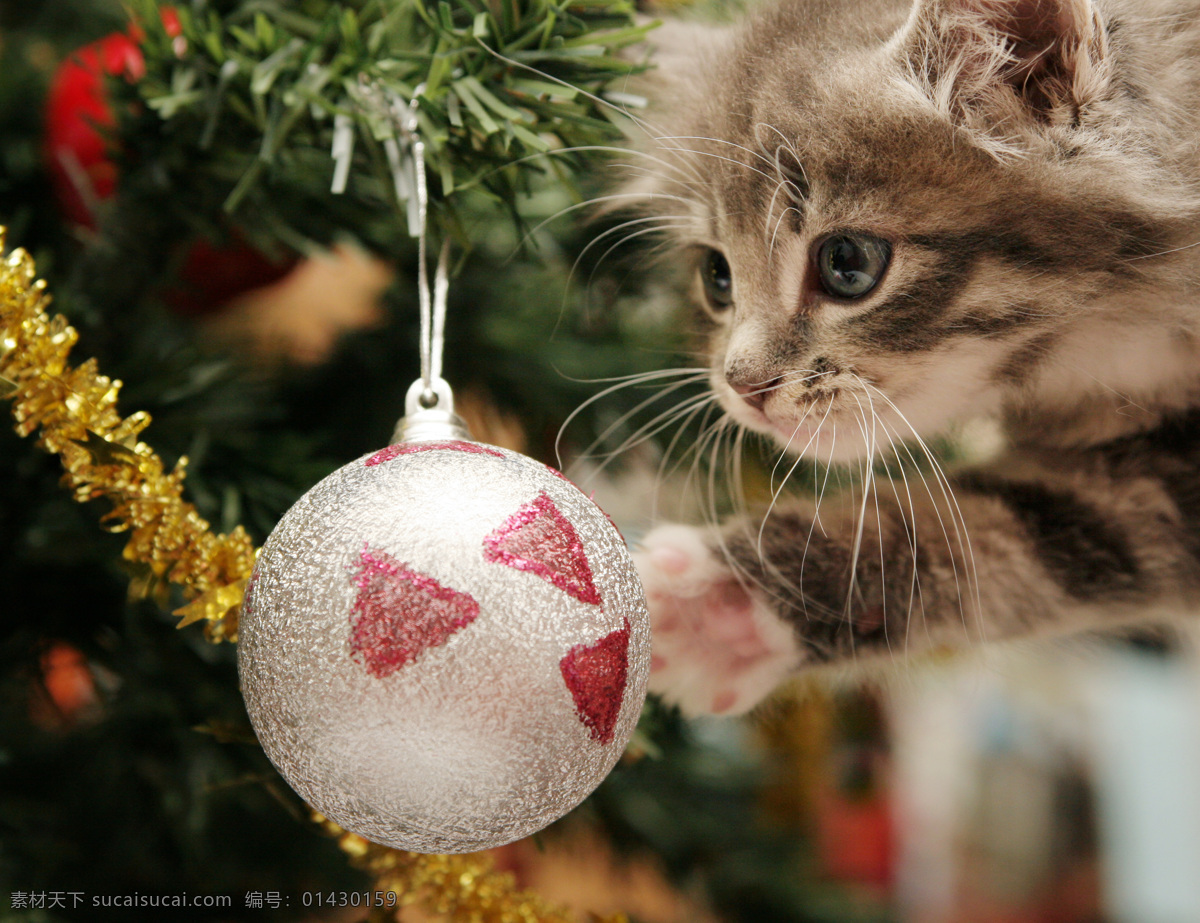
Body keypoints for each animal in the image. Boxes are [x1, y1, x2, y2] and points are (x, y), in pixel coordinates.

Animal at [624, 0, 1200, 715]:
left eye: (847, 263)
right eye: (716, 277)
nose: (742, 385)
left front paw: (735, 598)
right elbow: (1037, 522)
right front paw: (731, 607)